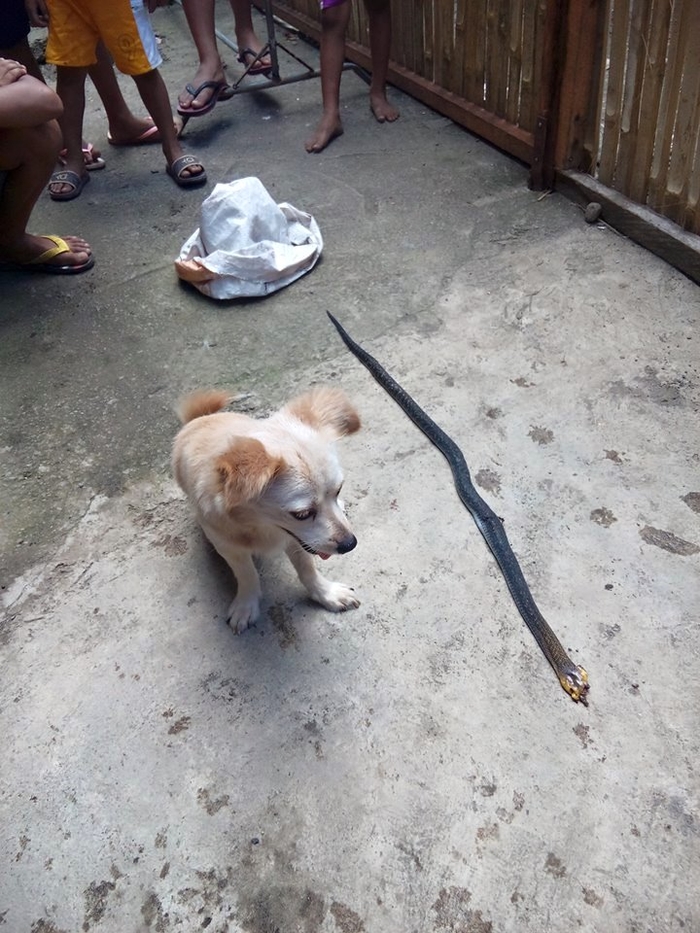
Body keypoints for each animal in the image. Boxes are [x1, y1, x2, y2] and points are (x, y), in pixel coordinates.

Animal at [172, 382, 360, 628]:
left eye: (338, 490)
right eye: (302, 514)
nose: (350, 544)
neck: (259, 524)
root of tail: (201, 417)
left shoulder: (296, 538)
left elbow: (307, 568)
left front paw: (325, 593)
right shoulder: (229, 546)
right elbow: (246, 574)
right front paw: (247, 603)